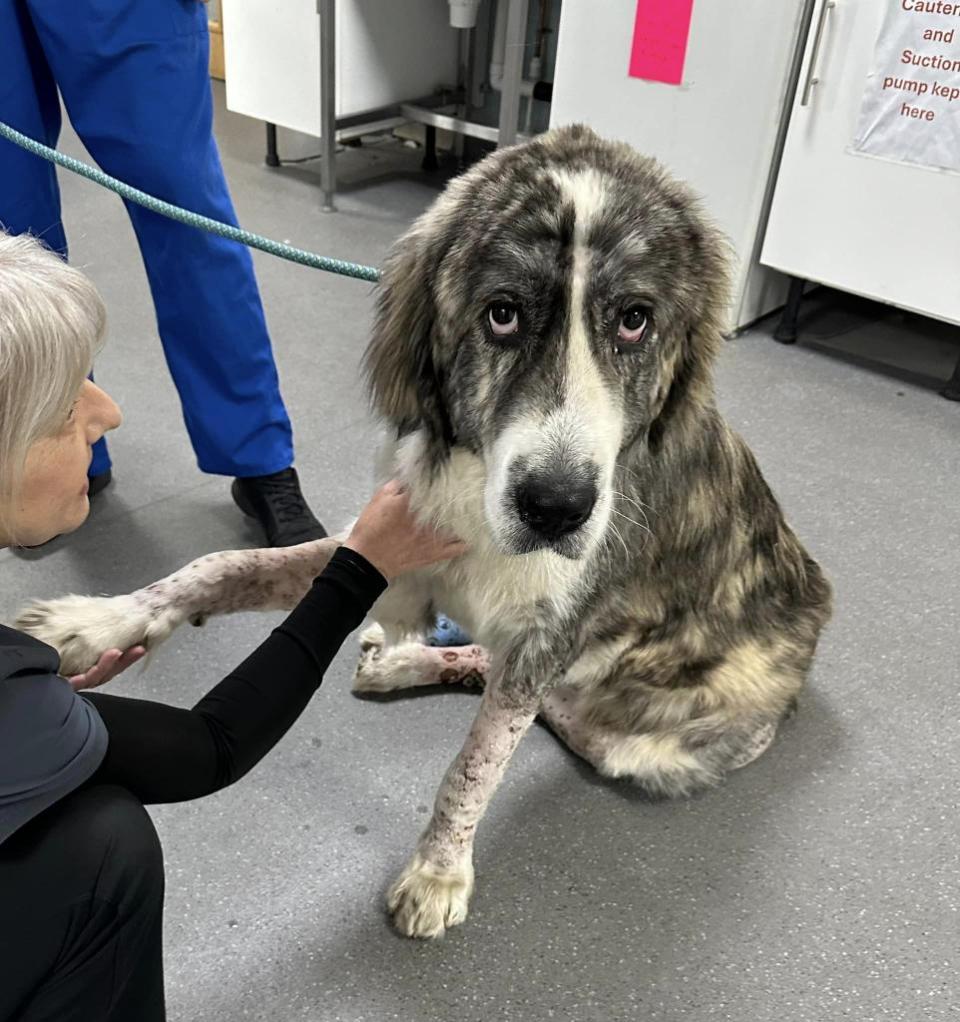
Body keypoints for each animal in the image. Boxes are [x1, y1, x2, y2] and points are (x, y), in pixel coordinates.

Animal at [15, 127, 834, 940]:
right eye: (502, 313)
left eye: (635, 319)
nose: (556, 508)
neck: (478, 490)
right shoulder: (394, 535)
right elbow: (223, 564)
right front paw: (98, 622)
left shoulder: (548, 638)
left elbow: (477, 762)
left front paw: (440, 871)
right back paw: (400, 660)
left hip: (638, 741)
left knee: (558, 709)